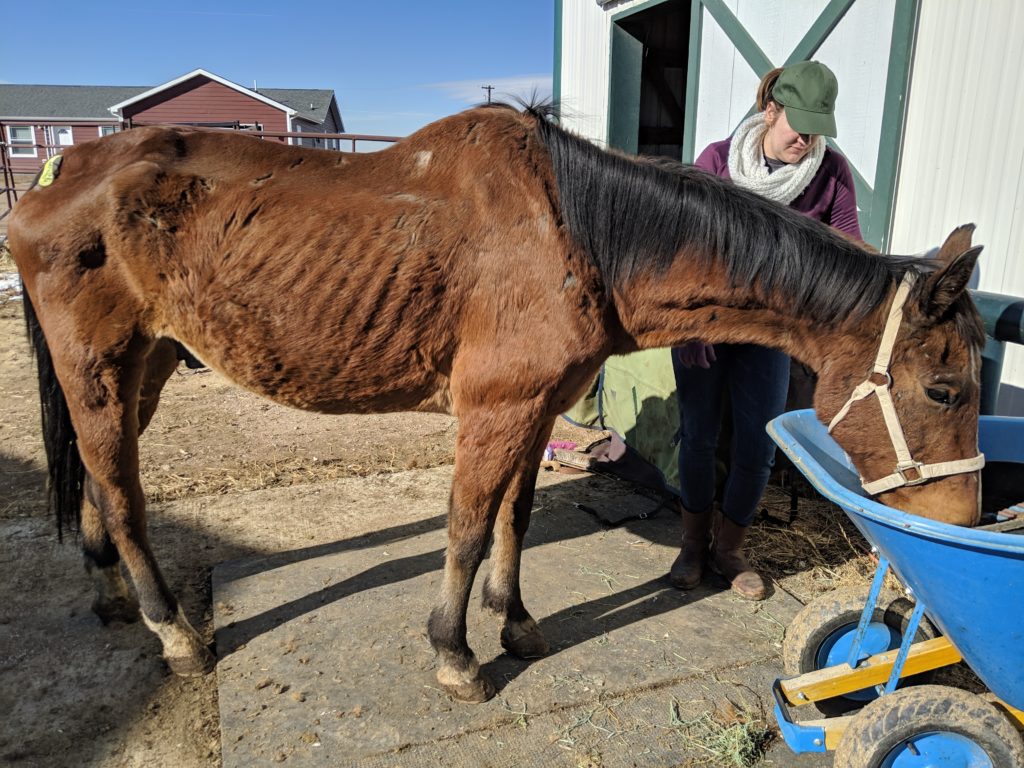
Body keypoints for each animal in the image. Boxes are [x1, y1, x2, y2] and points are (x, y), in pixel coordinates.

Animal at [6, 103, 983, 704]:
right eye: (945, 387)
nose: (965, 524)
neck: (577, 233)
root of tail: (61, 168)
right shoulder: (495, 409)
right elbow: (470, 529)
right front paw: (455, 654)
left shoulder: (538, 409)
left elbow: (512, 519)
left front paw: (513, 625)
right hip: (100, 368)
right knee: (122, 495)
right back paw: (171, 631)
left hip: (148, 365)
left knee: (99, 479)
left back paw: (112, 596)